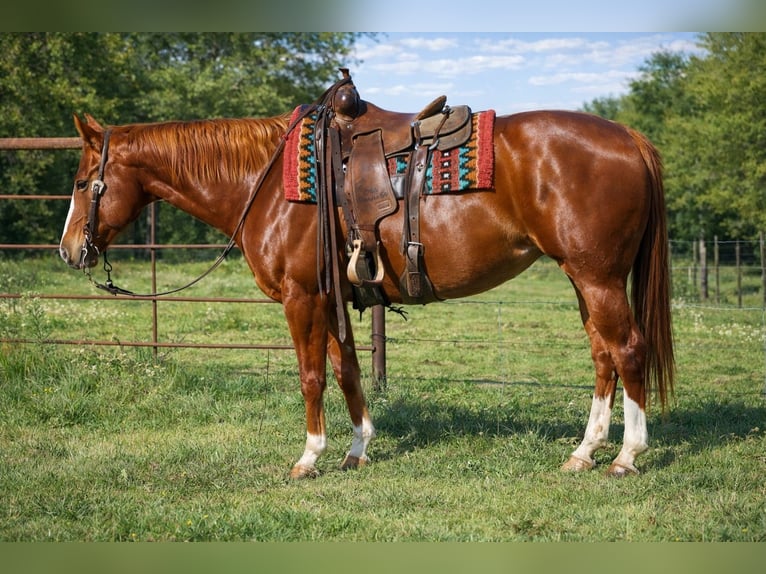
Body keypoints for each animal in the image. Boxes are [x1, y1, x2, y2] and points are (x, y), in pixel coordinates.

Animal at [59, 88, 674, 479]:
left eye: (85, 181)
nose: (68, 250)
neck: (267, 184)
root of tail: (629, 137)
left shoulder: (301, 297)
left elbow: (311, 376)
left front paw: (309, 457)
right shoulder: (332, 296)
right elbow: (347, 370)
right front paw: (357, 450)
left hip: (598, 278)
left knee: (628, 350)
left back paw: (627, 456)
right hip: (582, 279)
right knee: (602, 356)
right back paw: (583, 452)